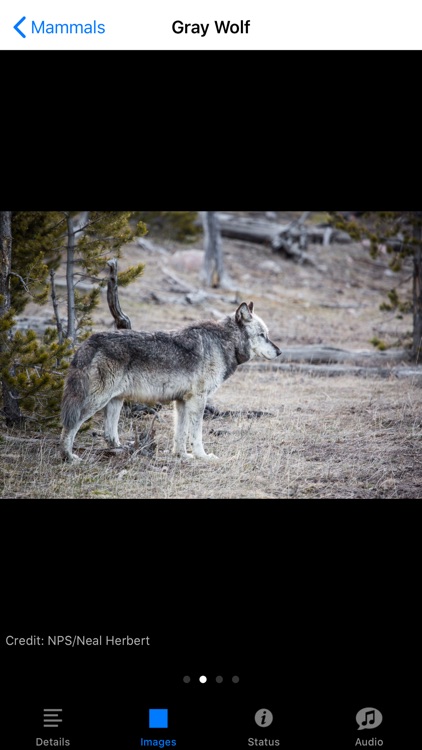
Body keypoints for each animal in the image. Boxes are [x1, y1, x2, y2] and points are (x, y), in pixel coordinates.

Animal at [59, 302, 282, 462]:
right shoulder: (198, 399)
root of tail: (88, 341)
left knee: (108, 434)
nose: (280, 352)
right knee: (70, 426)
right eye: (262, 335)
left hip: (115, 401)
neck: (224, 342)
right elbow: (196, 434)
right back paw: (68, 456)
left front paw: (182, 456)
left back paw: (123, 451)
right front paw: (202, 456)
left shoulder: (181, 401)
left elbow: (180, 434)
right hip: (96, 401)